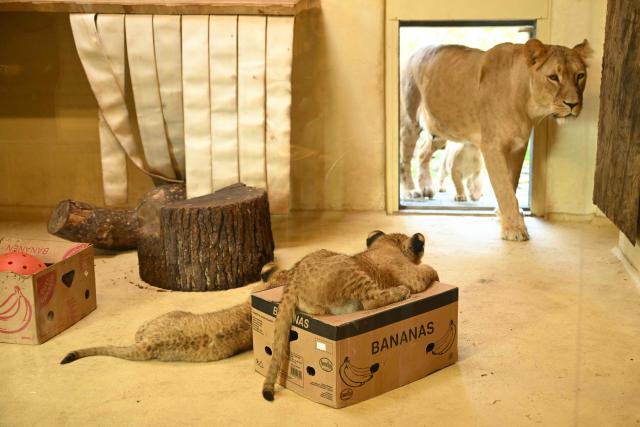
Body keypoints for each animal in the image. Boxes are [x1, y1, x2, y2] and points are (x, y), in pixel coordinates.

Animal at [400, 38, 592, 240]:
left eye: (580, 75)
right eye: (553, 77)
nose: (573, 104)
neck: (527, 105)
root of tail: (414, 52)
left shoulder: (518, 147)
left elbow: (511, 182)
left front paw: (503, 215)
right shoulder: (492, 146)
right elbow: (503, 187)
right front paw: (514, 229)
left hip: (440, 130)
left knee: (422, 153)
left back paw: (427, 187)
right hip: (410, 120)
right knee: (405, 157)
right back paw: (411, 190)